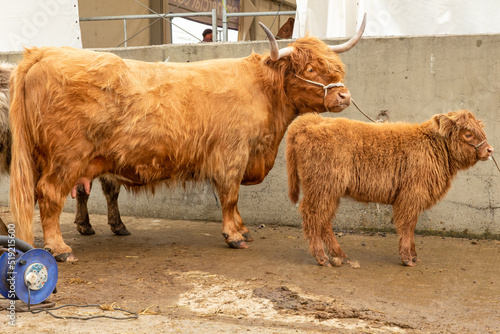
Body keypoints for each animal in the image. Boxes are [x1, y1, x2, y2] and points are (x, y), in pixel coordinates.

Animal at [7, 18, 366, 260]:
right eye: (310, 69)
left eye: (335, 66)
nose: (344, 96)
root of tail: (43, 53)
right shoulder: (231, 154)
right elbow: (230, 196)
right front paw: (234, 235)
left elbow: (233, 200)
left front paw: (242, 228)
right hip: (66, 158)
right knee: (49, 195)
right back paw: (59, 249)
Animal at [288, 111, 494, 268]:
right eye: (468, 134)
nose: (490, 150)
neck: (433, 146)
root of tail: (310, 120)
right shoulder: (411, 196)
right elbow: (408, 225)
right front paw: (407, 258)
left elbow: (410, 226)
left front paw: (413, 255)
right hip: (321, 187)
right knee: (312, 215)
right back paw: (321, 257)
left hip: (330, 191)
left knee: (324, 219)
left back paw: (338, 255)